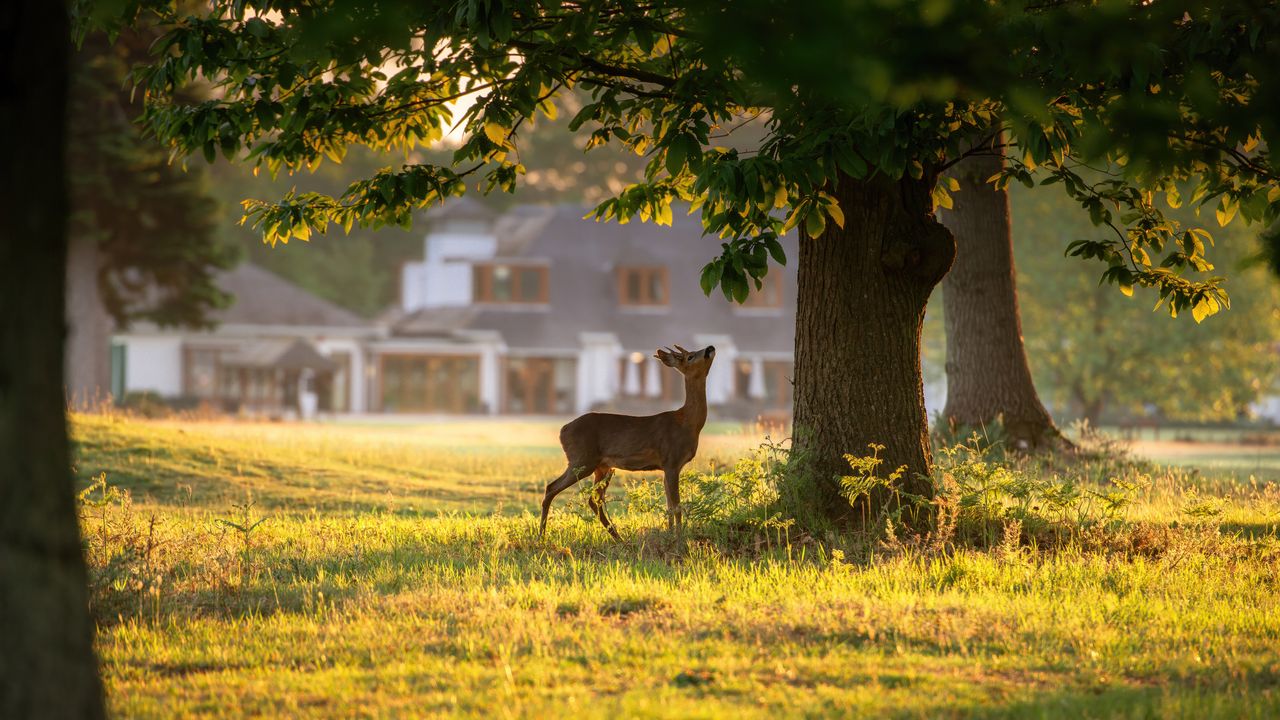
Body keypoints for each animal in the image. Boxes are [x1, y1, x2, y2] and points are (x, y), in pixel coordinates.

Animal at [537, 343, 716, 538]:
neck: (687, 423)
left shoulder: (669, 466)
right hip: (581, 459)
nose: (710, 347)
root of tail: (563, 430)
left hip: (603, 466)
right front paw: (678, 537)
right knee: (552, 488)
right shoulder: (671, 460)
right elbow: (676, 506)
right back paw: (541, 536)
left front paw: (670, 535)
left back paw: (618, 538)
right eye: (690, 356)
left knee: (594, 500)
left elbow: (669, 506)